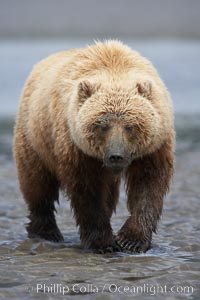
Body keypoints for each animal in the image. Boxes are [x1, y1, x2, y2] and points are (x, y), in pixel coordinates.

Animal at [13, 40, 175, 253]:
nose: (116, 156)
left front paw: (131, 240)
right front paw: (103, 243)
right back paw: (46, 232)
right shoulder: (76, 147)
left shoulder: (153, 148)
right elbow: (87, 192)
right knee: (37, 184)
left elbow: (148, 185)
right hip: (36, 137)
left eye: (130, 126)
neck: (115, 68)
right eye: (102, 126)